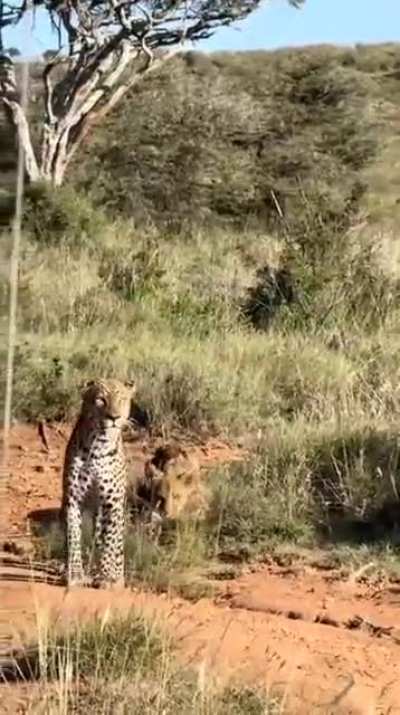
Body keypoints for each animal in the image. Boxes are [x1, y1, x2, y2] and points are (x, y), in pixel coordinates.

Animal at [61, 378, 136, 589]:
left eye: (122, 399)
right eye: (100, 400)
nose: (114, 417)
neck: (99, 446)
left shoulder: (112, 503)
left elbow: (110, 542)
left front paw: (106, 577)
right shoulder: (73, 500)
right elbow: (73, 537)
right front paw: (76, 575)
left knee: (115, 544)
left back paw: (115, 576)